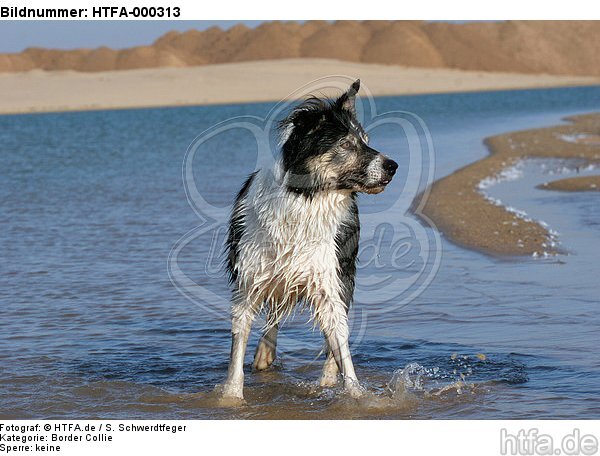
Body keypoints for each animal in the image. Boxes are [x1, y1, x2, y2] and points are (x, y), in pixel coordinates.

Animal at [223, 81, 396, 400]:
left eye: (366, 140)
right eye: (345, 144)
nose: (393, 165)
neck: (305, 199)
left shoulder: (329, 278)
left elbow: (340, 342)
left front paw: (356, 396)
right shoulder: (249, 280)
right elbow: (238, 345)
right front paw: (230, 397)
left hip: (343, 272)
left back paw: (326, 379)